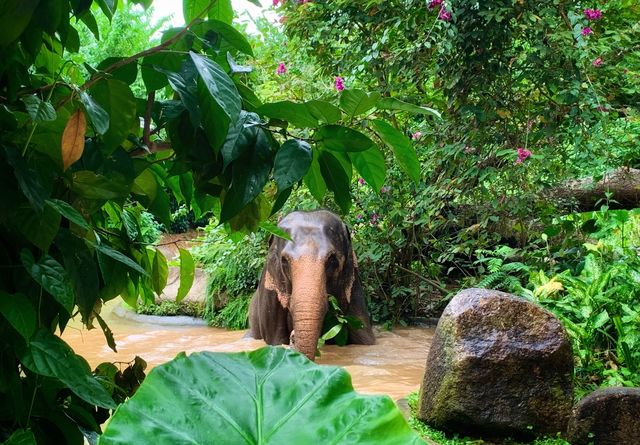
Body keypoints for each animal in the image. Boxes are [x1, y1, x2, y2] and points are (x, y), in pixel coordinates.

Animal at [246, 210, 376, 360]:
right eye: (284, 261)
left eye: (332, 260)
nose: (293, 336)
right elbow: (275, 340)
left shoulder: (354, 287)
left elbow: (365, 339)